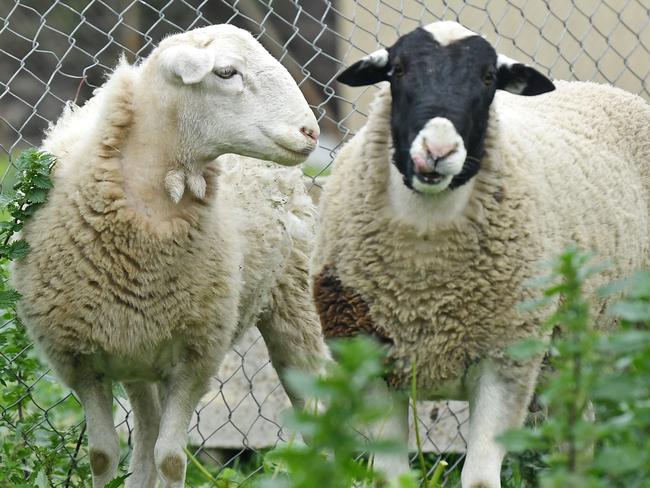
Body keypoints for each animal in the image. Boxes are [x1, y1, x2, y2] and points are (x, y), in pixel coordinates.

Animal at [310, 20, 648, 488]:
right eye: (398, 70)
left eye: (488, 78)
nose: (437, 152)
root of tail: (599, 86)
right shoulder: (370, 361)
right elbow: (391, 476)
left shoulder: (507, 361)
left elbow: (481, 479)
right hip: (566, 359)